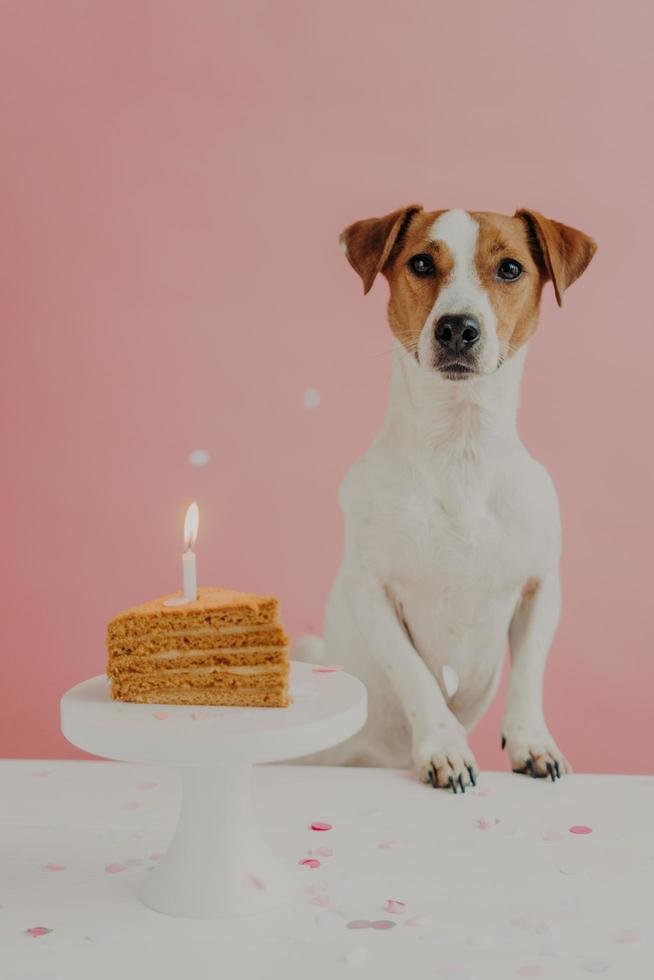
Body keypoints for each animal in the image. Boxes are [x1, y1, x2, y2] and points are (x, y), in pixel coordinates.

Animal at [298, 205, 600, 788]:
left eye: (510, 268)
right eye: (421, 262)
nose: (457, 327)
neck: (461, 449)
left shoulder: (540, 587)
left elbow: (529, 674)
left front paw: (532, 742)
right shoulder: (372, 592)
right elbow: (415, 675)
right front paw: (444, 747)